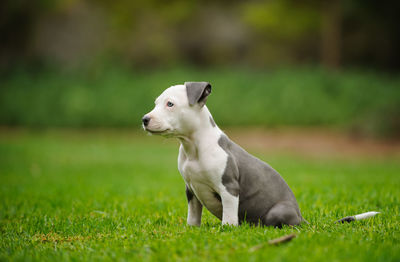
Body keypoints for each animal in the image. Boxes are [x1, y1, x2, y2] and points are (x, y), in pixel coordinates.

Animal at [142, 83, 380, 226]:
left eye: (170, 104)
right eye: (156, 103)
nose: (145, 119)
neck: (193, 147)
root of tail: (301, 218)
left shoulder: (229, 188)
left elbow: (229, 215)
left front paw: (228, 230)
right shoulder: (191, 190)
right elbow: (193, 215)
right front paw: (192, 229)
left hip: (277, 212)